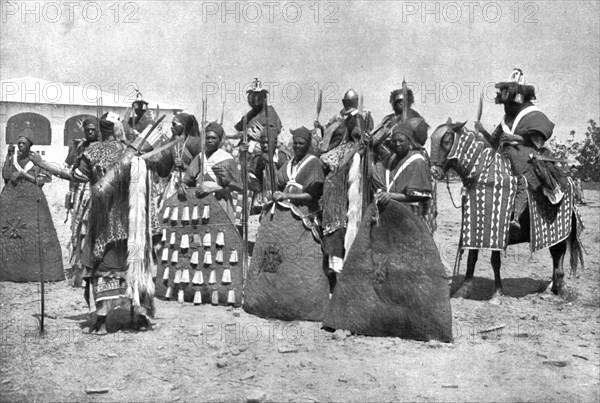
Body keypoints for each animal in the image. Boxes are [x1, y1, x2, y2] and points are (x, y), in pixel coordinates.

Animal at [428, 120, 584, 304]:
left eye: (446, 141)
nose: (434, 172)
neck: (483, 176)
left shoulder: (497, 230)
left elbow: (495, 261)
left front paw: (496, 293)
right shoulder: (475, 228)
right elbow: (472, 258)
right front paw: (464, 289)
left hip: (560, 230)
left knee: (558, 255)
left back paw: (562, 289)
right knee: (555, 255)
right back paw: (552, 289)